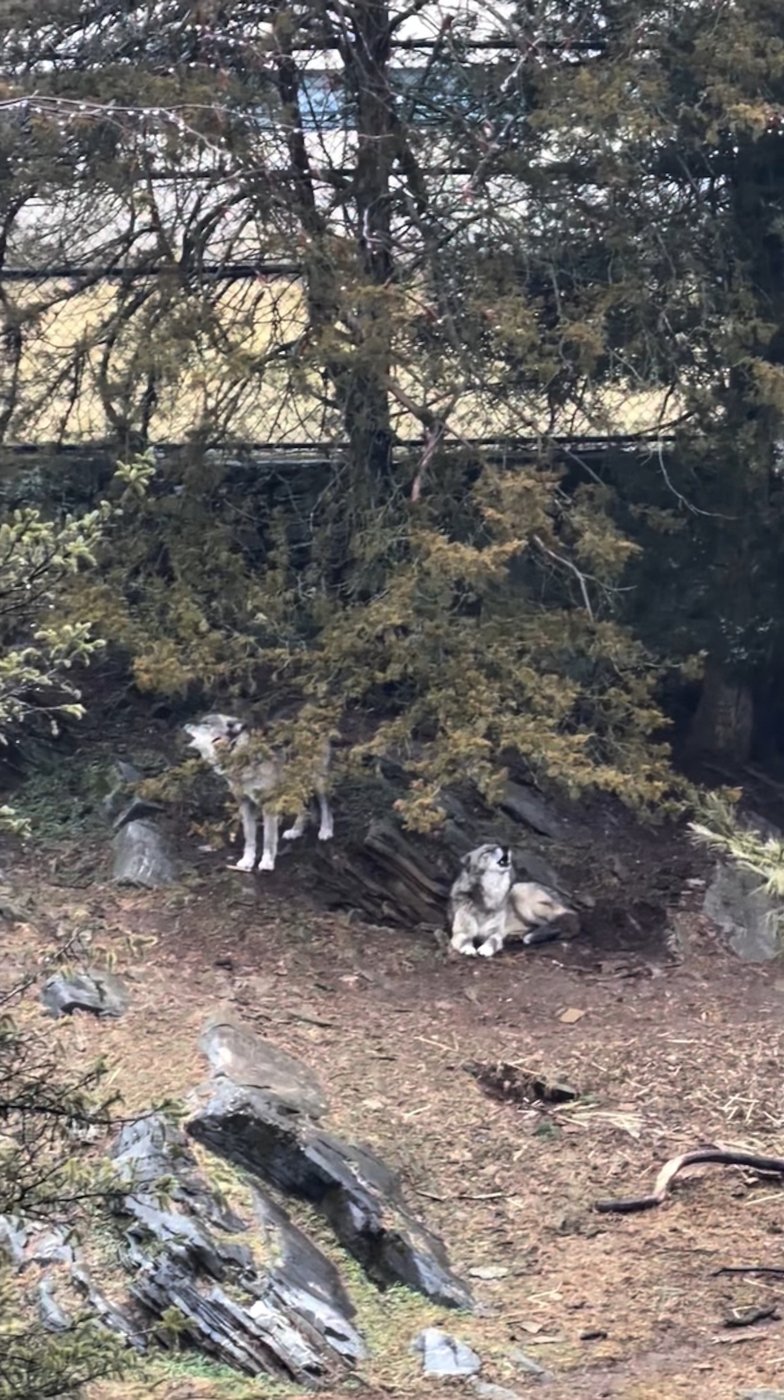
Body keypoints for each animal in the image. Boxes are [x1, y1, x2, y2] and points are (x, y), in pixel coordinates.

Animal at [183, 713, 333, 873]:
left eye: (206, 724)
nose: (185, 725)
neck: (238, 754)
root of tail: (312, 722)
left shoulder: (269, 804)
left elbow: (268, 838)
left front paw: (267, 862)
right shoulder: (245, 804)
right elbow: (249, 838)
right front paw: (247, 861)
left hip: (318, 782)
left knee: (326, 807)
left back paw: (326, 831)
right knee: (304, 809)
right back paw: (296, 830)